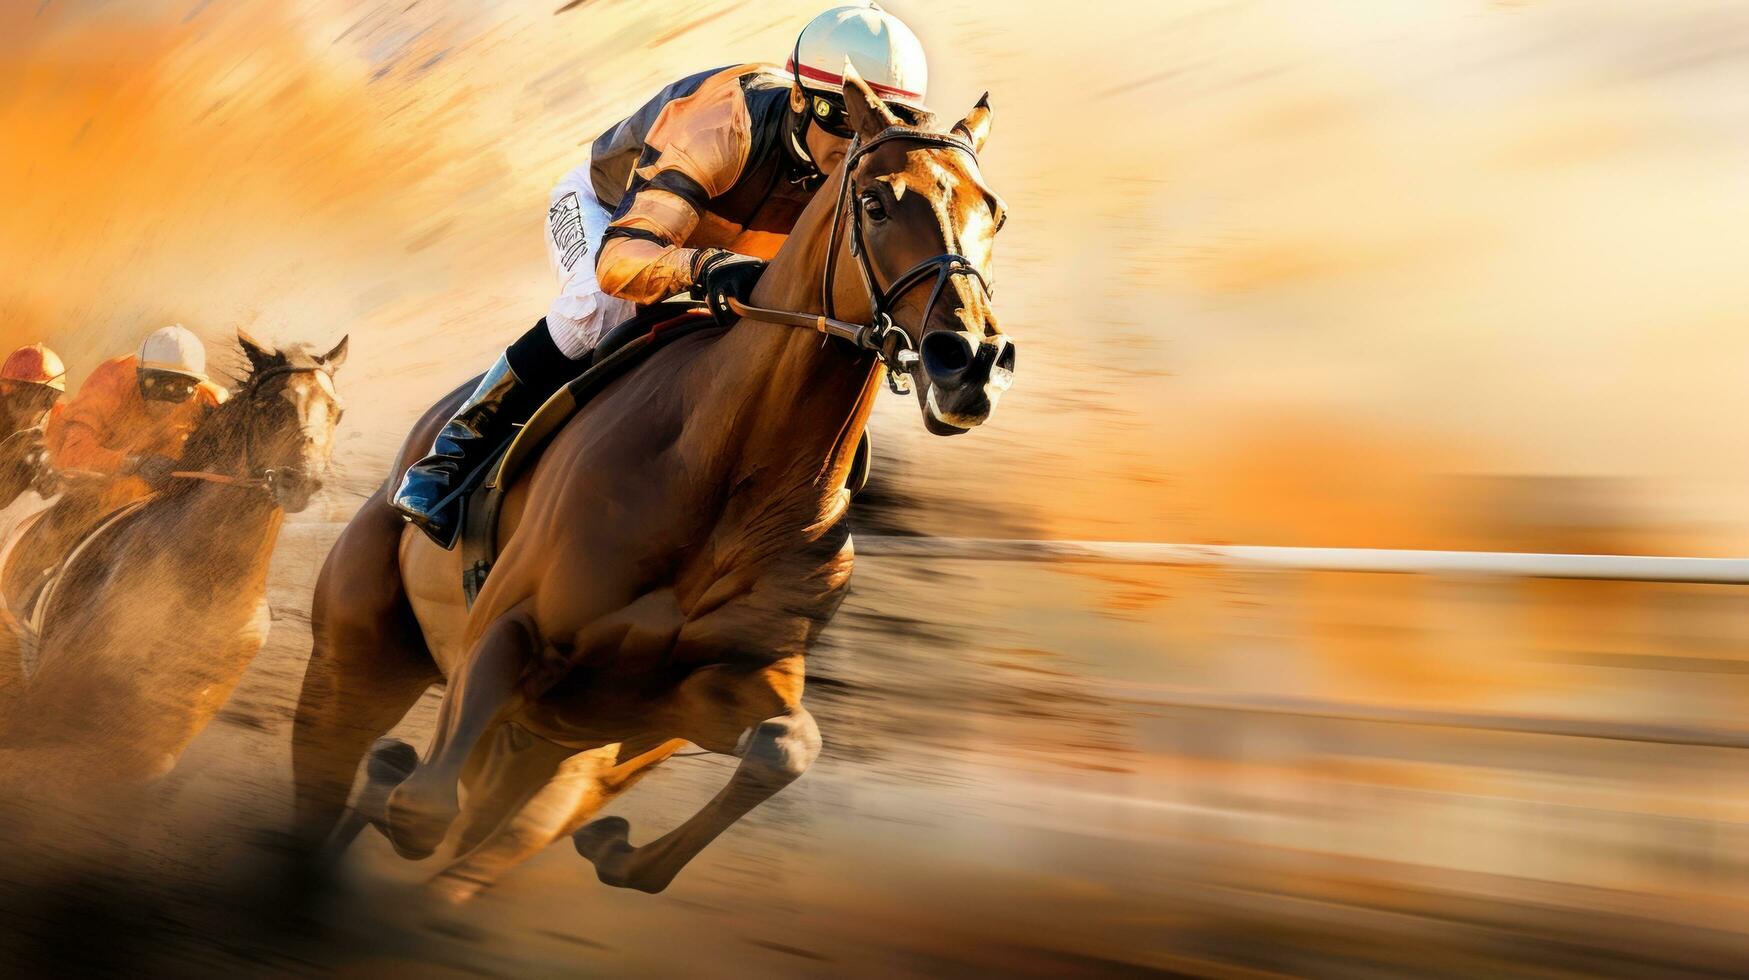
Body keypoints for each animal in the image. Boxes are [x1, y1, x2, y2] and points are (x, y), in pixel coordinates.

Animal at [0, 334, 348, 787]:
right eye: (272, 405)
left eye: (336, 411)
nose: (300, 479)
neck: (206, 580)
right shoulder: (49, 693)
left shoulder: (163, 731)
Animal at [295, 72, 1021, 903]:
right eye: (875, 202)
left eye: (993, 211)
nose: (971, 359)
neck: (732, 473)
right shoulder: (508, 629)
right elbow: (421, 803)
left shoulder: (672, 707)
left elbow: (785, 746)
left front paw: (617, 849)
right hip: (353, 662)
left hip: (548, 762)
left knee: (489, 840)